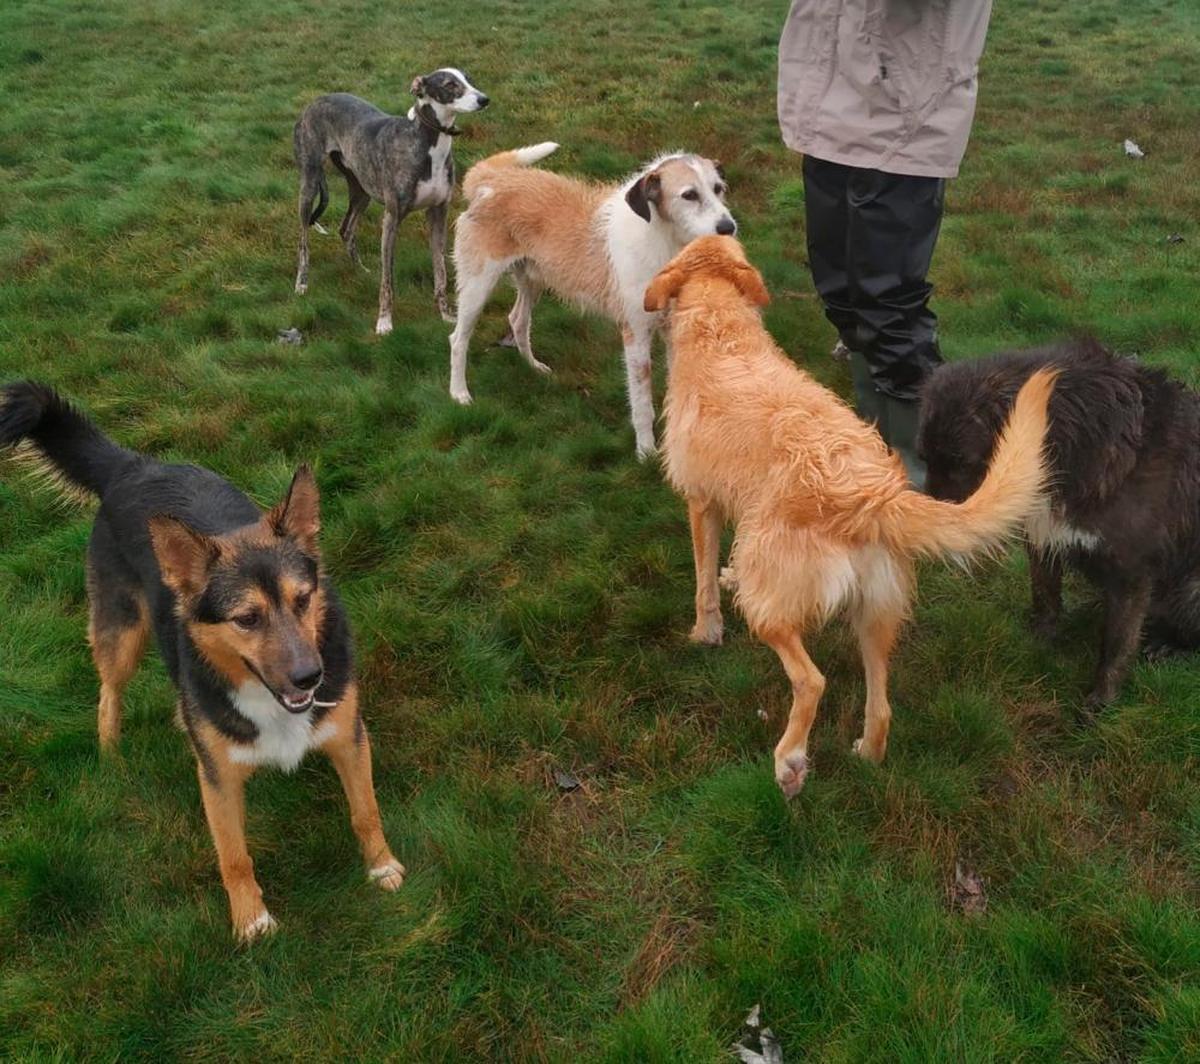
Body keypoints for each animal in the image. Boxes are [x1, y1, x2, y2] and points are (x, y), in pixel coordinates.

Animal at [0, 381, 405, 940]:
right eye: (246, 619)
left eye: (303, 599)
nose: (311, 677)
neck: (268, 698)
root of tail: (133, 465)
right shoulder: (218, 780)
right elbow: (233, 855)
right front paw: (251, 920)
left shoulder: (348, 737)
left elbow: (366, 810)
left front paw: (382, 866)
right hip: (122, 634)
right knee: (109, 692)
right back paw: (111, 753)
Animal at [916, 335, 1200, 710]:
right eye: (924, 458)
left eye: (962, 463)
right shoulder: (1043, 536)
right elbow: (1045, 596)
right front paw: (1038, 641)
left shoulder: (1132, 570)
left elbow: (1116, 644)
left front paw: (1100, 703)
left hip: (1191, 587)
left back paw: (1170, 647)